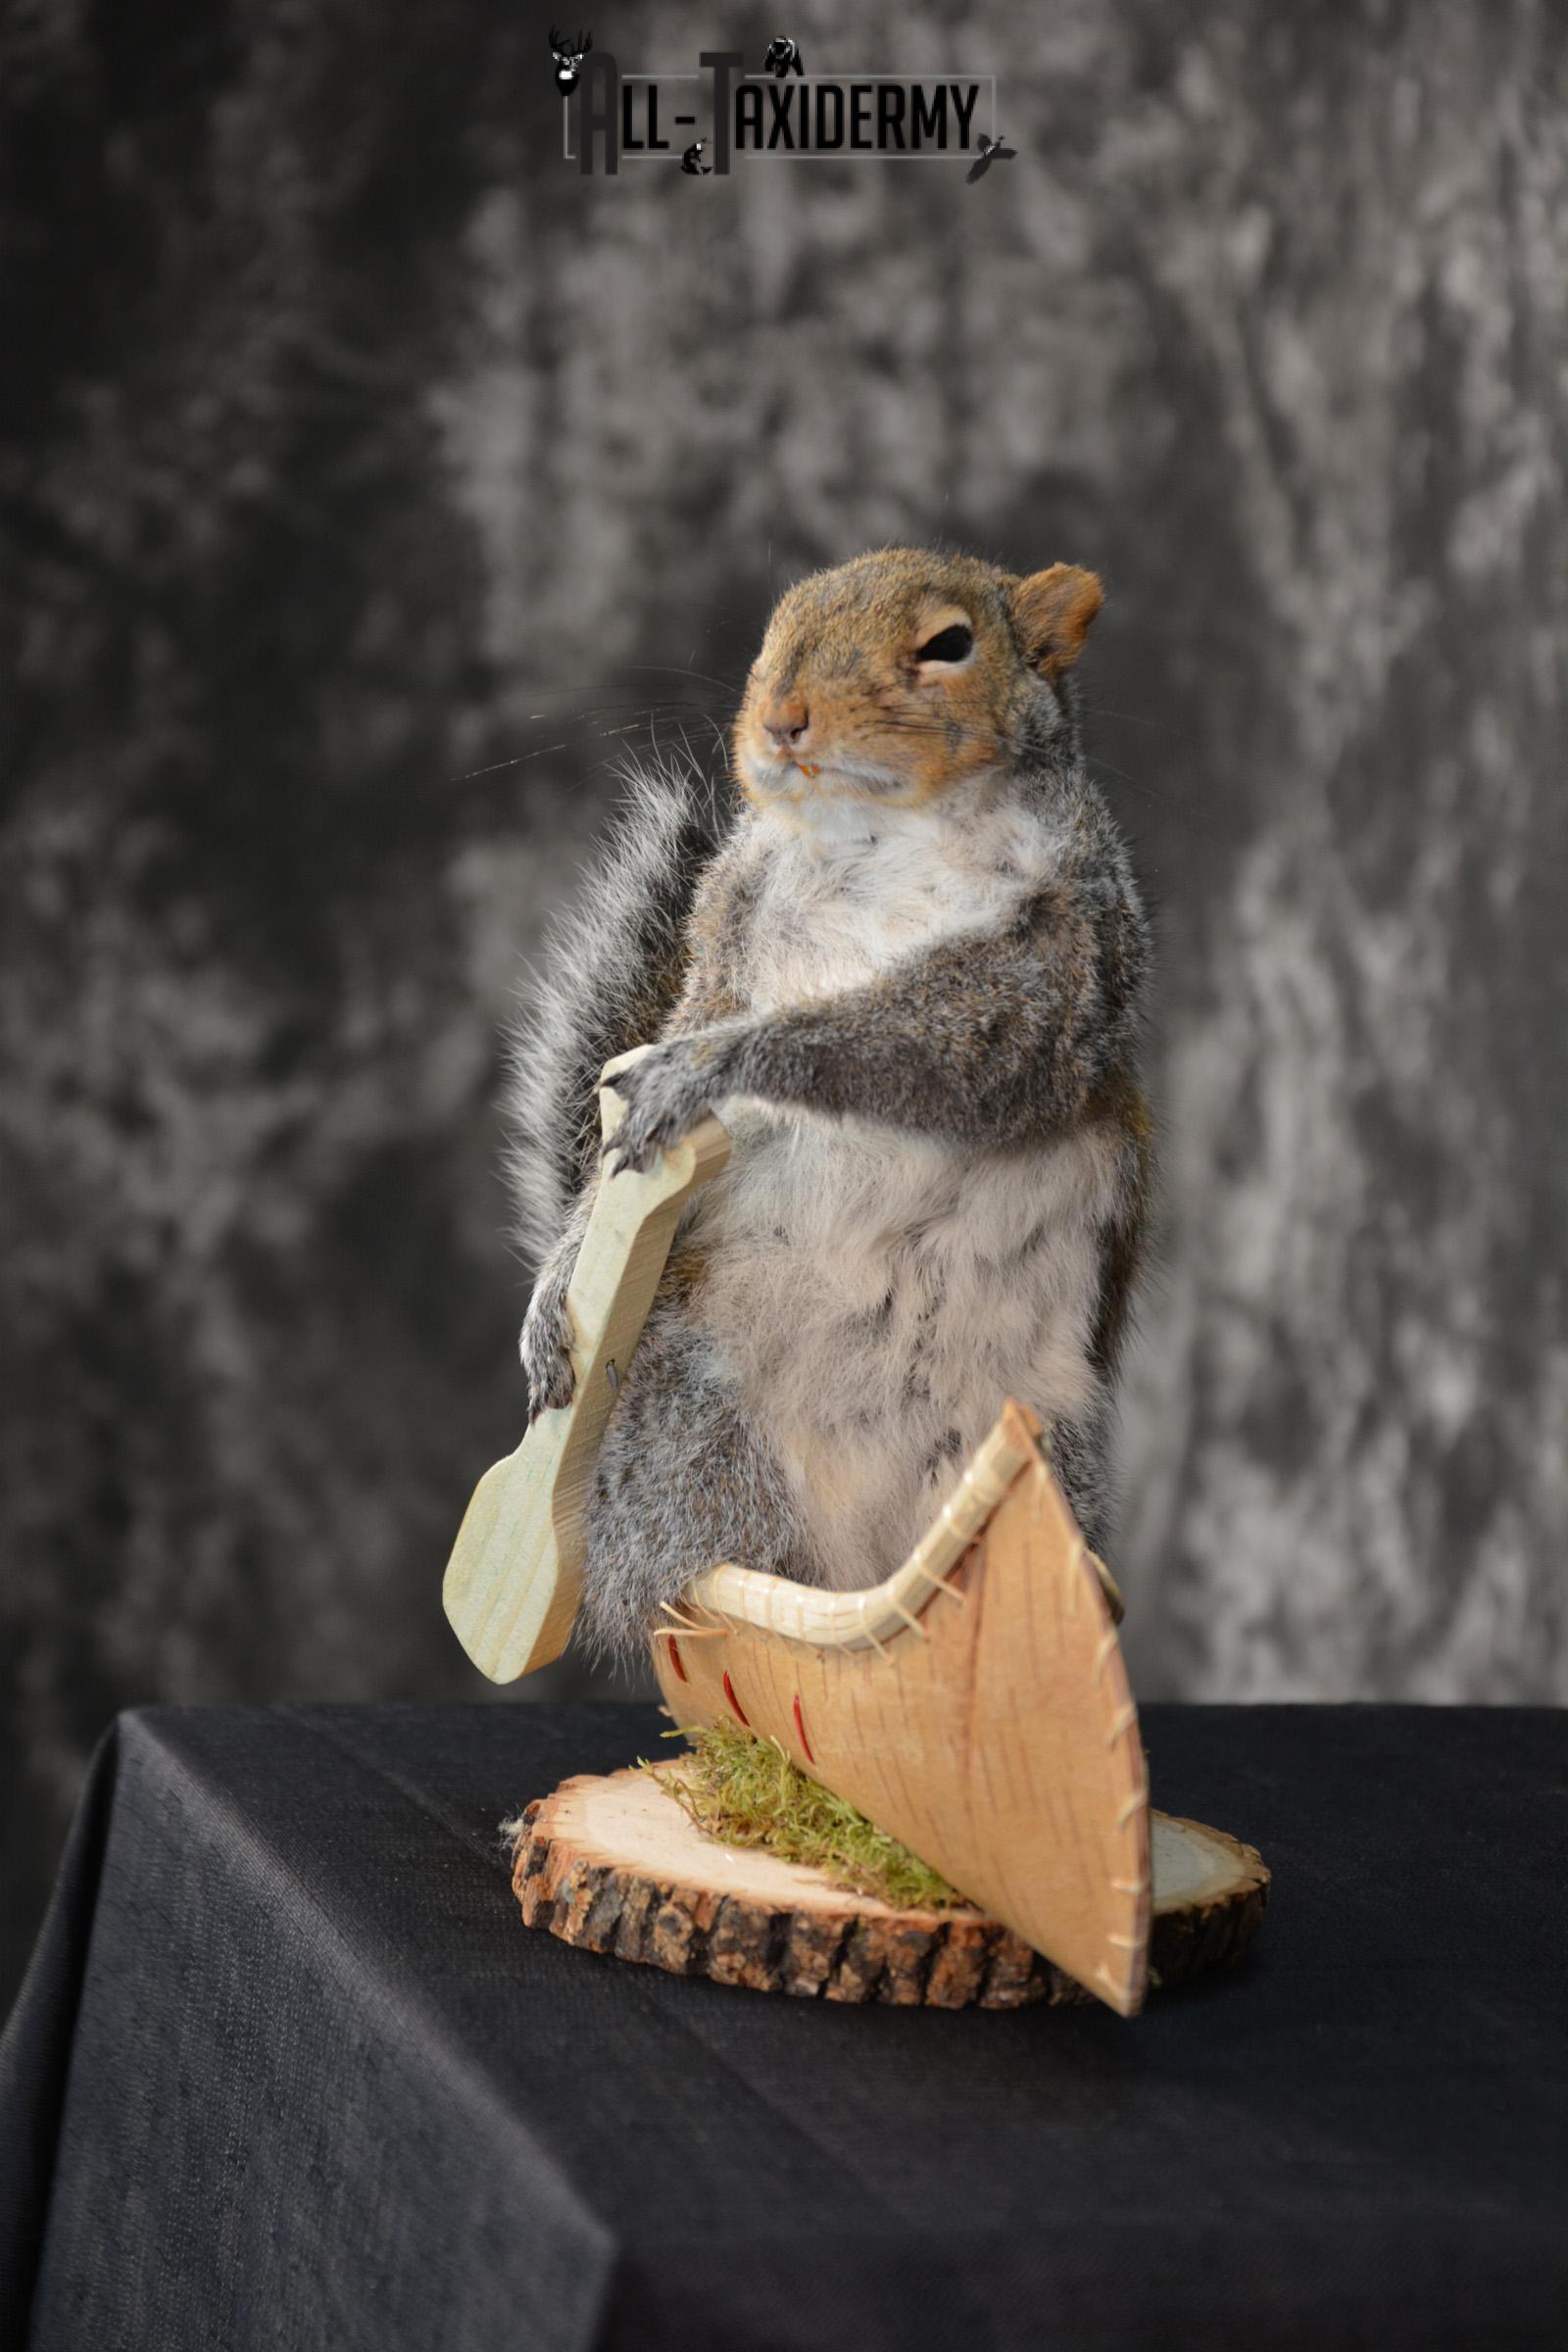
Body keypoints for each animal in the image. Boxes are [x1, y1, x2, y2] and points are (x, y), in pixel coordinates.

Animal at [508, 547, 1153, 1668]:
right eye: (775, 630)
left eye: (949, 644)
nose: (780, 718)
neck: (879, 835)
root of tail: (859, 1556)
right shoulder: (726, 934)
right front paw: (557, 1284)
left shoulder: (1063, 951)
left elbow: (922, 1038)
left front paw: (715, 1064)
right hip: (700, 1430)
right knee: (707, 1573)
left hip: (1039, 1450)